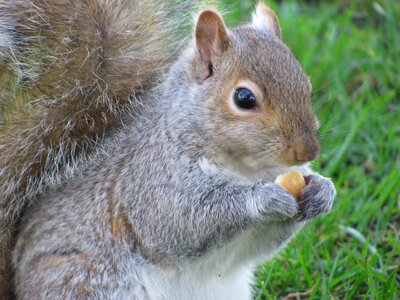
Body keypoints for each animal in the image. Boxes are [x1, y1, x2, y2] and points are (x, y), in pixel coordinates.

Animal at [1, 1, 336, 298]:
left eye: (306, 86)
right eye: (244, 98)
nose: (308, 151)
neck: (246, 169)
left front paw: (322, 190)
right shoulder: (150, 183)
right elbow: (181, 219)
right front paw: (263, 198)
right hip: (82, 282)